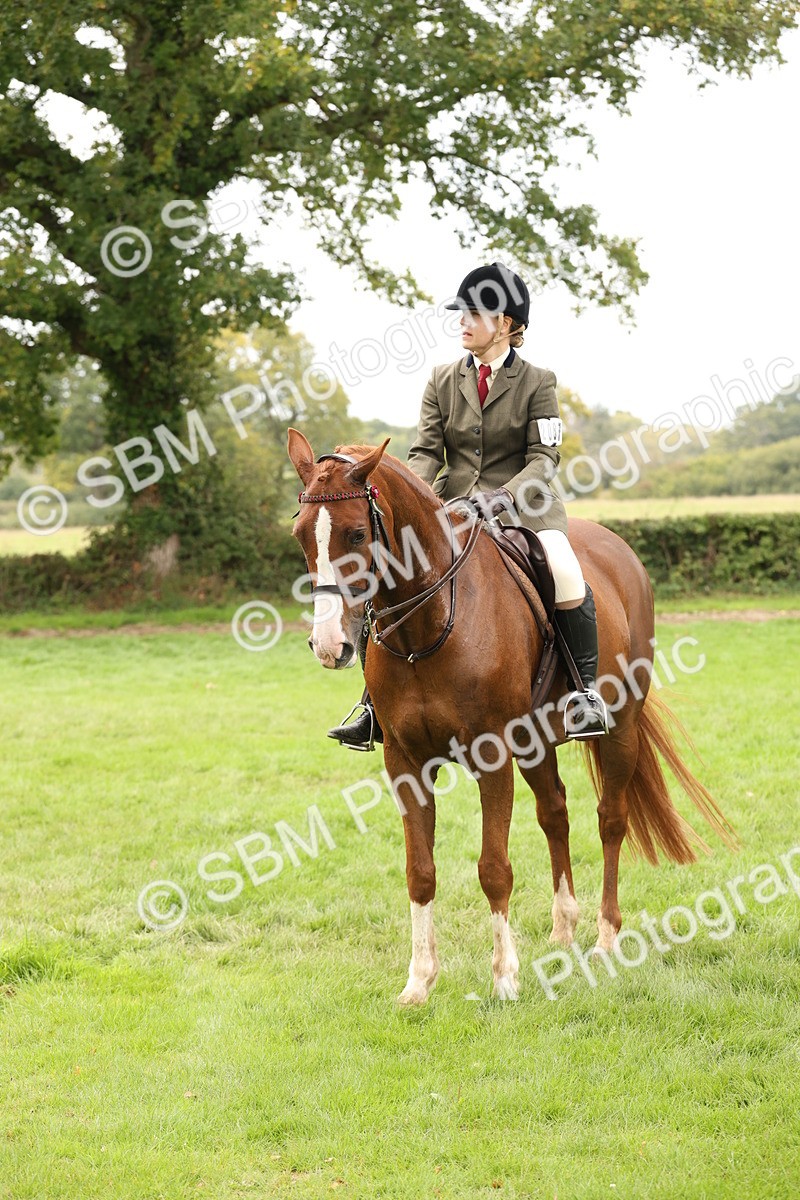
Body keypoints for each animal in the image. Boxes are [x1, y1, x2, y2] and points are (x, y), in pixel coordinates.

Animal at [287, 428, 736, 1005]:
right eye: (301, 534)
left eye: (357, 533)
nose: (329, 646)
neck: (429, 626)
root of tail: (620, 551)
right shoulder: (404, 763)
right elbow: (420, 872)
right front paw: (419, 982)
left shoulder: (492, 756)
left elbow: (494, 869)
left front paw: (504, 978)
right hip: (536, 741)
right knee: (555, 813)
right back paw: (563, 929)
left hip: (619, 729)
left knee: (610, 821)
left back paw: (605, 938)